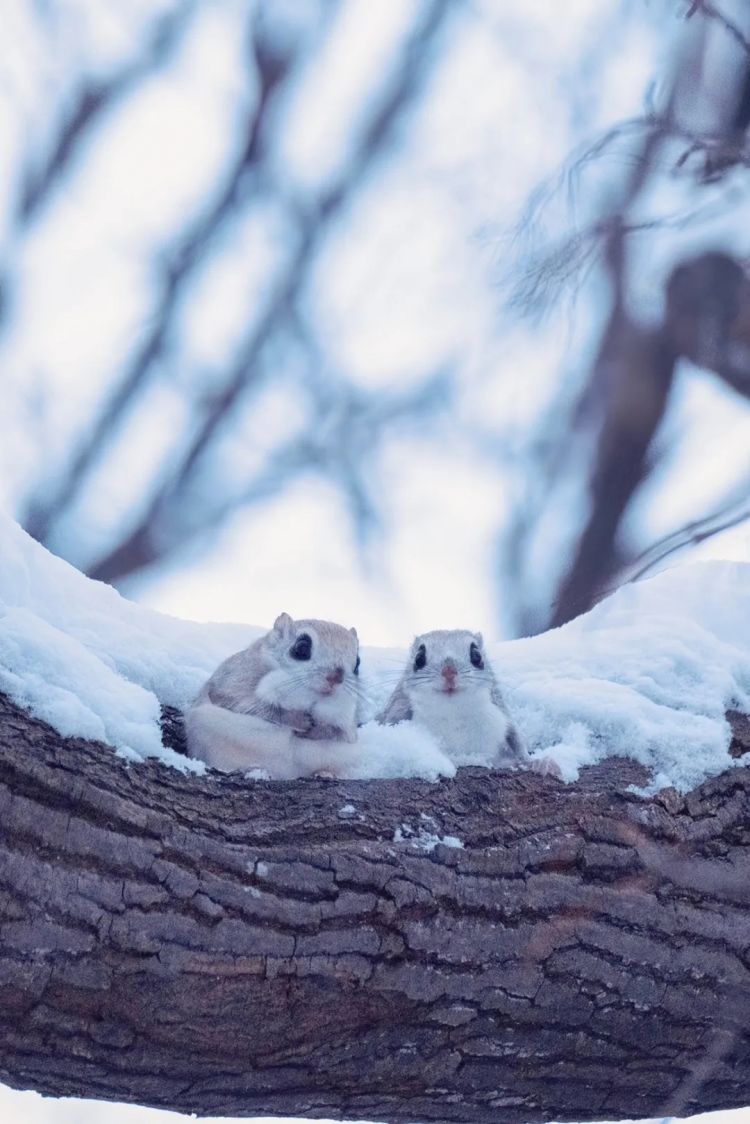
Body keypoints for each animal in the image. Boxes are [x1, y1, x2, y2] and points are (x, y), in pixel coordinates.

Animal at [187, 615, 364, 782]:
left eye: (358, 663)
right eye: (301, 648)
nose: (336, 677)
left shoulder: (349, 725)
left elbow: (345, 733)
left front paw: (321, 730)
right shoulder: (235, 679)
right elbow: (246, 703)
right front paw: (298, 720)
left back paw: (325, 773)